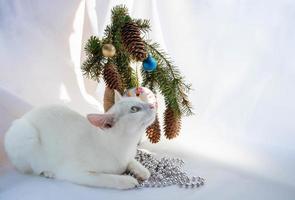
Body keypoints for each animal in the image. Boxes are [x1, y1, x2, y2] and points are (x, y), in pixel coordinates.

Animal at [4, 90, 157, 189]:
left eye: (139, 100)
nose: (153, 105)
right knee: (31, 168)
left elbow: (132, 162)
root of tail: (24, 116)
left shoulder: (128, 157)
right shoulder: (75, 172)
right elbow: (107, 178)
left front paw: (142, 171)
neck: (127, 146)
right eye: (135, 109)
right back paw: (48, 172)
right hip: (27, 135)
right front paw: (127, 180)